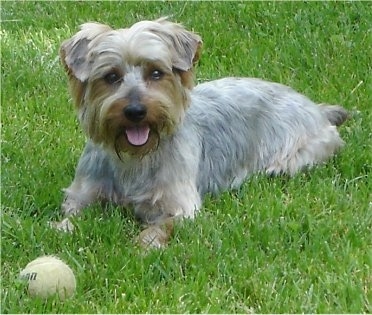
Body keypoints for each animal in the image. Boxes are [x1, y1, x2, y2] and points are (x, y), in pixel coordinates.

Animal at [55, 17, 348, 249]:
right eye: (111, 77)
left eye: (156, 73)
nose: (136, 110)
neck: (134, 158)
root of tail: (316, 108)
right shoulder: (82, 193)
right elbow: (72, 215)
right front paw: (62, 229)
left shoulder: (180, 206)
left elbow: (163, 225)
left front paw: (145, 243)